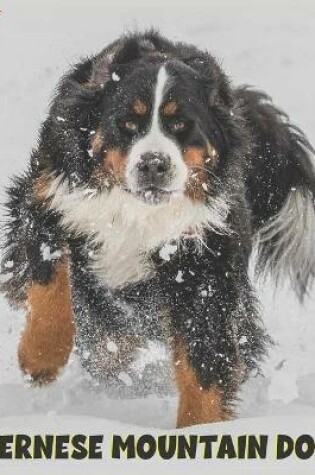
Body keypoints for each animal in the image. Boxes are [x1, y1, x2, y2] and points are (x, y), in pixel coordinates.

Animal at [1, 31, 314, 430]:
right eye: (127, 124)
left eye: (182, 126)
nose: (153, 163)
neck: (136, 213)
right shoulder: (49, 201)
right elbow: (49, 284)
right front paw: (40, 359)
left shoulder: (202, 263)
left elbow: (203, 361)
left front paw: (199, 432)